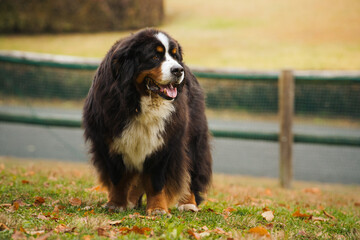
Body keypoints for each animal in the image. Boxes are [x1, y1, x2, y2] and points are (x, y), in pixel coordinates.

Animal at [83, 28, 212, 216]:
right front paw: (116, 204)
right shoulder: (109, 142)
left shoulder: (164, 144)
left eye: (174, 56)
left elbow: (156, 182)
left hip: (193, 139)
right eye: (155, 57)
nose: (178, 70)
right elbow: (118, 178)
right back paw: (131, 200)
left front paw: (157, 208)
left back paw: (188, 203)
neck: (139, 101)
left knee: (191, 170)